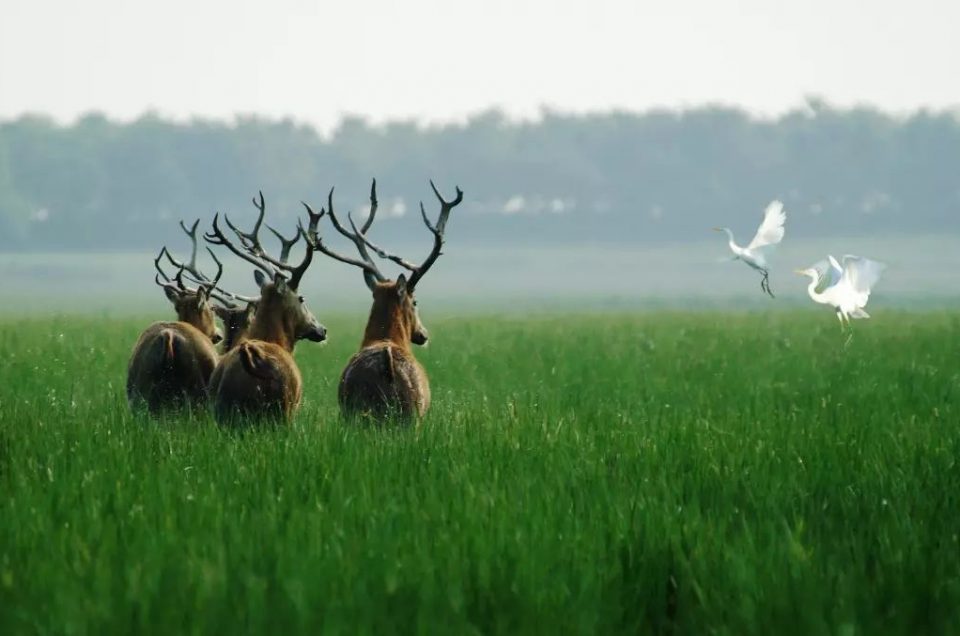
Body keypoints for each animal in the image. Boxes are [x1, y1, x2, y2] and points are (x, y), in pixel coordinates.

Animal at [202, 191, 326, 424]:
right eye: (302, 298)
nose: (322, 329)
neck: (275, 339)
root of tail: (252, 360)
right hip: (282, 409)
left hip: (223, 410)